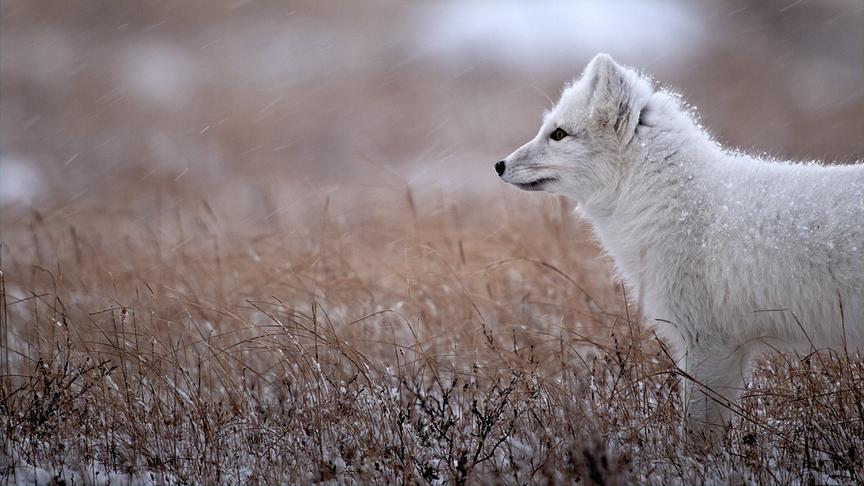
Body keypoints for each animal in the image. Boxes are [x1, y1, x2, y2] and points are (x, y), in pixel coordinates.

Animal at [496, 53, 864, 440]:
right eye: (549, 129)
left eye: (558, 134)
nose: (499, 165)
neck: (679, 203)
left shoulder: (708, 344)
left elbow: (696, 435)